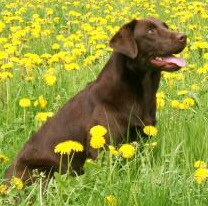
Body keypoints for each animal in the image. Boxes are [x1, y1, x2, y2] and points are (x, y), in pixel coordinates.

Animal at [4, 16, 187, 183]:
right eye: (150, 31)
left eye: (166, 26)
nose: (183, 36)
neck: (139, 93)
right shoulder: (103, 147)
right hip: (44, 172)